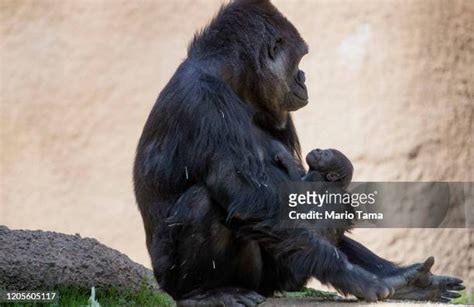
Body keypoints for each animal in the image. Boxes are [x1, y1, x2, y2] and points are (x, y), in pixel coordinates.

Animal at [133, 0, 462, 306]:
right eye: (300, 59)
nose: (303, 76)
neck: (231, 79)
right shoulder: (204, 100)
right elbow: (246, 193)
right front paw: (351, 276)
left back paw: (404, 280)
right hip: (184, 280)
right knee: (203, 202)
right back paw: (205, 293)